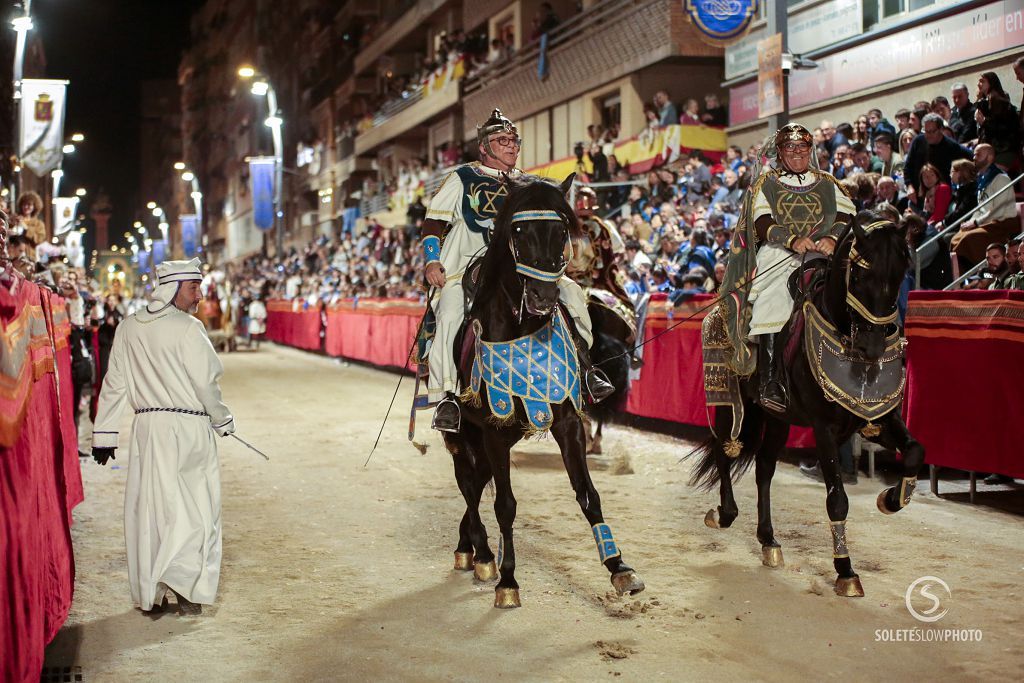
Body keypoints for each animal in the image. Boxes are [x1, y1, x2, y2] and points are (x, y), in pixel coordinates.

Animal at [444, 175, 643, 610]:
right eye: (518, 231)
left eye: (561, 231)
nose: (542, 298)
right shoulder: (493, 429)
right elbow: (504, 505)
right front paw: (507, 580)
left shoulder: (565, 421)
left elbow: (588, 494)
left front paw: (619, 567)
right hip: (464, 433)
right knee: (467, 483)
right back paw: (481, 553)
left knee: (475, 482)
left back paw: (471, 548)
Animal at [692, 211, 925, 598]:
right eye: (858, 275)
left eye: (900, 275)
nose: (873, 347)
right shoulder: (824, 429)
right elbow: (837, 498)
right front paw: (845, 571)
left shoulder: (879, 418)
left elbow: (914, 453)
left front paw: (890, 500)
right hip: (731, 402)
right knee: (726, 451)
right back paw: (724, 514)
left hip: (778, 417)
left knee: (764, 468)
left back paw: (768, 540)